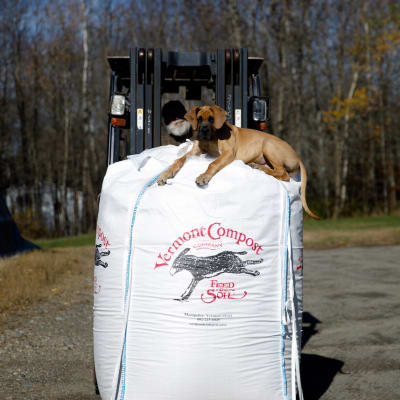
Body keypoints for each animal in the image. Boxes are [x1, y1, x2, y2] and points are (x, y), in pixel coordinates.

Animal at [156, 104, 318, 220]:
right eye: (200, 119)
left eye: (211, 119)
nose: (203, 130)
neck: (212, 138)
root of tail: (298, 157)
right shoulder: (193, 152)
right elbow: (178, 160)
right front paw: (165, 174)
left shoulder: (228, 154)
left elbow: (212, 163)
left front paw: (203, 176)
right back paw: (256, 165)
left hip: (268, 144)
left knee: (283, 174)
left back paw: (258, 167)